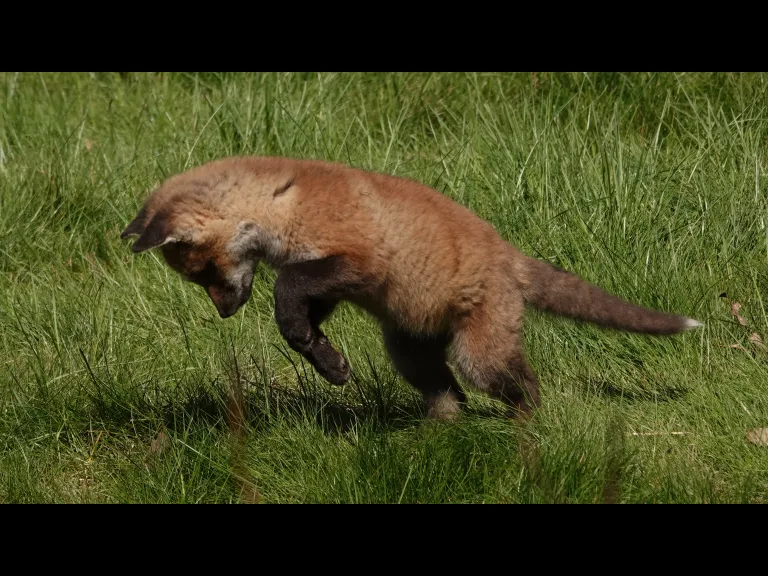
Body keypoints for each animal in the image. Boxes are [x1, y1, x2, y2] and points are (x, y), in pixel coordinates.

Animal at [121, 156, 702, 420]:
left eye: (202, 273)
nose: (224, 313)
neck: (282, 203)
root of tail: (509, 254)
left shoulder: (357, 262)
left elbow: (286, 291)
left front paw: (319, 355)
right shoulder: (330, 284)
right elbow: (300, 318)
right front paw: (326, 361)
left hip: (480, 356)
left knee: (517, 385)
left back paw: (527, 427)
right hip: (409, 351)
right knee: (449, 396)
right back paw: (440, 432)